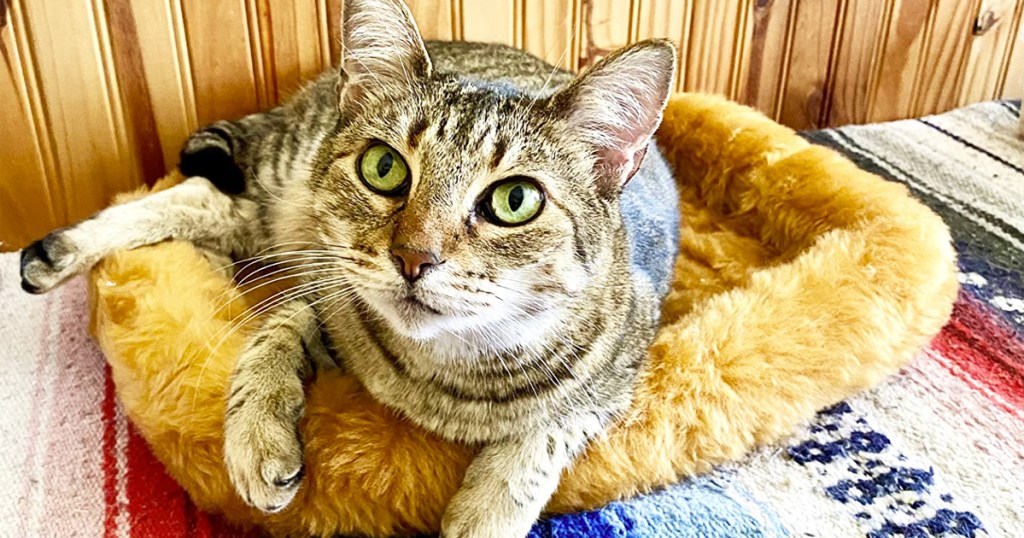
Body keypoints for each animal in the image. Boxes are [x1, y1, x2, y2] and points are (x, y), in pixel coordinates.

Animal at [18, 1, 679, 532]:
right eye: (384, 168)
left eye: (514, 201)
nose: (414, 257)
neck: (449, 375)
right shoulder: (328, 283)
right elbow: (277, 328)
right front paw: (257, 432)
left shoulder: (620, 373)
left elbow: (544, 436)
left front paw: (485, 513)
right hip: (283, 187)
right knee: (204, 197)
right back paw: (58, 251)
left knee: (214, 207)